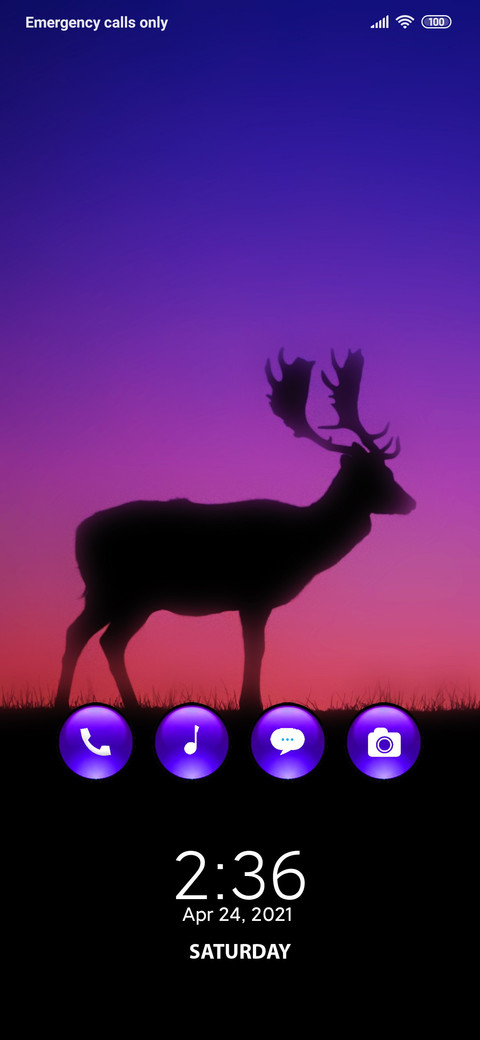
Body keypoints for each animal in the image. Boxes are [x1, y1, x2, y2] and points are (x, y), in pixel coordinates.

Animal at [55, 350, 415, 713]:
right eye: (375, 475)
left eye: (388, 470)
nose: (409, 501)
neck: (304, 543)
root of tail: (79, 533)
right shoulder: (255, 593)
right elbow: (256, 649)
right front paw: (251, 704)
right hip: (116, 588)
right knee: (84, 634)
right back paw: (69, 702)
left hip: (131, 598)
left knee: (103, 639)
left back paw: (124, 703)